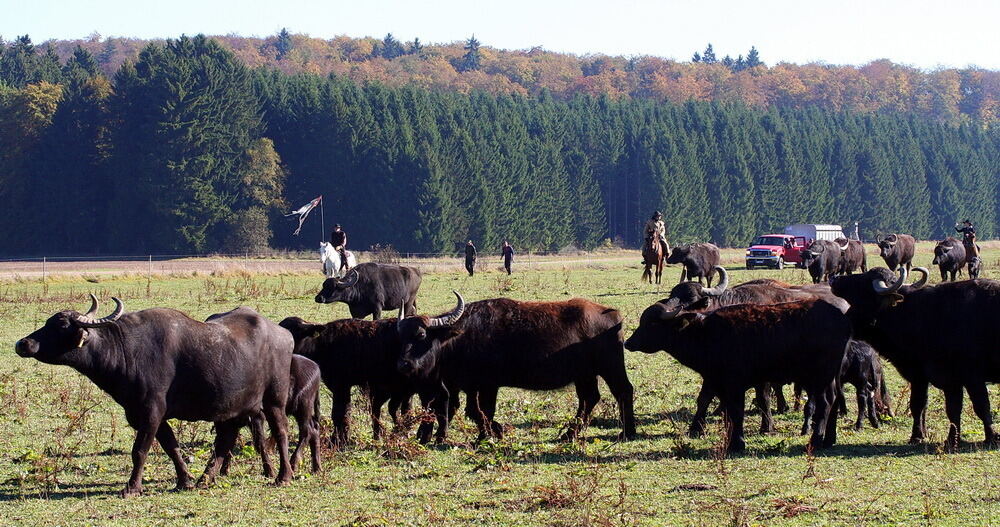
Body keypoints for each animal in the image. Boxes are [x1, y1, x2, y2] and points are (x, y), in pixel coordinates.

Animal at [14, 296, 292, 500]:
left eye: (61, 325)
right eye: (49, 321)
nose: (22, 344)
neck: (126, 351)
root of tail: (283, 334)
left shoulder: (151, 412)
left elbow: (139, 450)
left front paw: (131, 488)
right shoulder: (150, 415)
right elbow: (171, 447)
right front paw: (185, 481)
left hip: (273, 400)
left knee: (280, 432)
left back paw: (283, 476)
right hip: (232, 407)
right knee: (225, 440)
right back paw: (205, 478)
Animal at [396, 294, 636, 444]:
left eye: (421, 335)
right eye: (401, 336)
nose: (403, 364)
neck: (461, 336)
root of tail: (612, 315)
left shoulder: (488, 385)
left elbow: (485, 411)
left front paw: (489, 435)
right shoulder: (472, 386)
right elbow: (474, 411)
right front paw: (490, 433)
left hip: (610, 367)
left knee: (623, 391)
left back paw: (627, 432)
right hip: (585, 375)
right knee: (589, 399)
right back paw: (569, 434)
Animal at [628, 300, 848, 452]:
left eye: (652, 323)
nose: (628, 343)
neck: (706, 334)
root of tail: (841, 318)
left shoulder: (734, 385)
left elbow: (736, 412)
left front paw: (737, 443)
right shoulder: (718, 384)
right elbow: (725, 413)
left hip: (820, 377)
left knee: (825, 403)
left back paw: (816, 440)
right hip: (832, 377)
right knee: (835, 400)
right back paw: (829, 439)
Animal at [828, 266, 1000, 448]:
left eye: (863, 283)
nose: (834, 278)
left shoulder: (972, 377)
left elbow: (981, 406)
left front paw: (991, 437)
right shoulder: (929, 377)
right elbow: (928, 406)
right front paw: (936, 438)